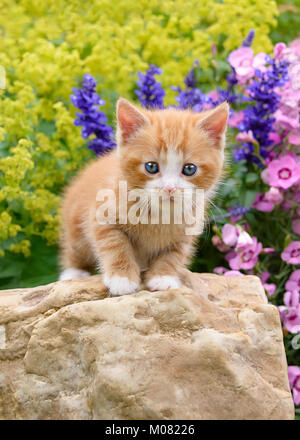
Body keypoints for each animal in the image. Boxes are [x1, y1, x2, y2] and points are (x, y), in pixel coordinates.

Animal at [59, 96, 230, 296]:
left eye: (189, 169)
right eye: (151, 167)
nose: (169, 188)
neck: (158, 214)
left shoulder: (186, 232)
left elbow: (173, 254)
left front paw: (163, 277)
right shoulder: (101, 215)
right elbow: (115, 244)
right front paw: (122, 278)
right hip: (75, 223)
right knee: (75, 248)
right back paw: (74, 272)